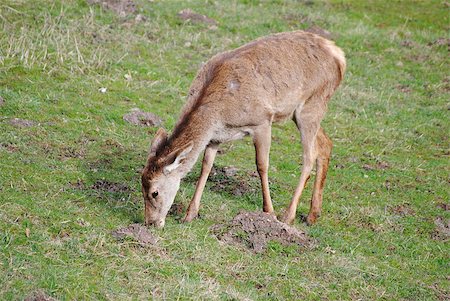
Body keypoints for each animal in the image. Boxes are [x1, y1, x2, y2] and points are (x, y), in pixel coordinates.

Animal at [141, 30, 344, 227]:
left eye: (154, 192)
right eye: (141, 183)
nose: (151, 223)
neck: (219, 116)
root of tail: (339, 56)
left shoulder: (262, 121)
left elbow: (262, 165)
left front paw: (269, 212)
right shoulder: (215, 137)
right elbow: (206, 166)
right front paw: (190, 214)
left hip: (312, 104)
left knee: (309, 156)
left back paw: (288, 216)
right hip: (302, 111)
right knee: (325, 143)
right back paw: (312, 215)